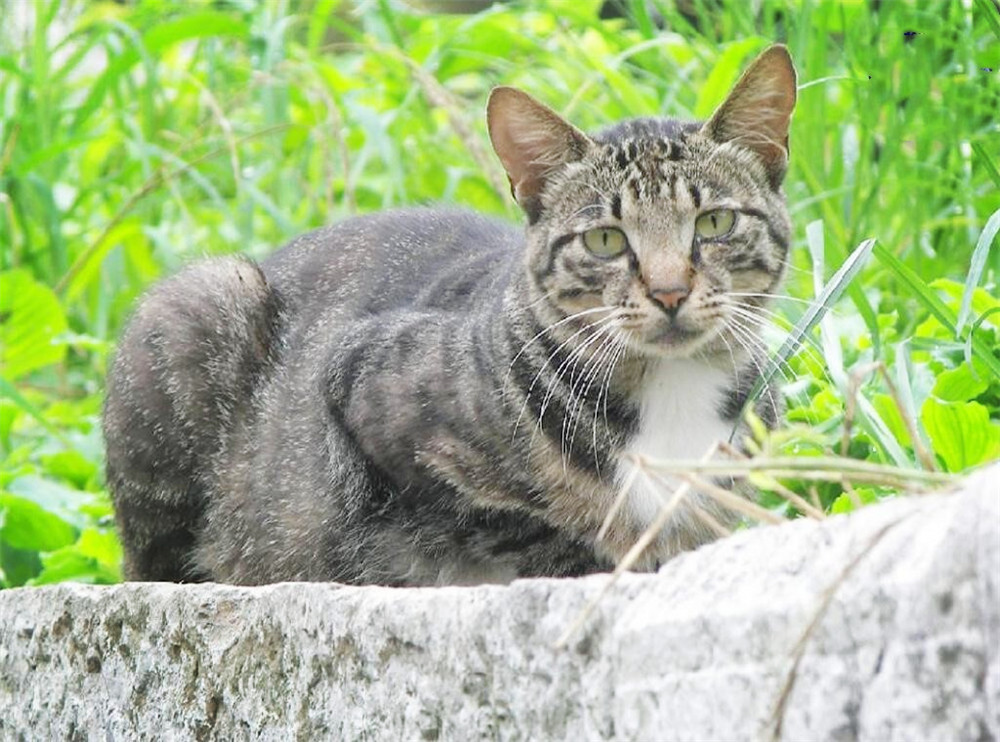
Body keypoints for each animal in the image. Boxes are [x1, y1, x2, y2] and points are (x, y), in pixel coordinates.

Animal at [103, 43, 796, 588]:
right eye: (605, 239)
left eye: (715, 222)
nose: (670, 291)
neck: (670, 391)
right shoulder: (362, 389)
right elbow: (523, 524)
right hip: (203, 302)